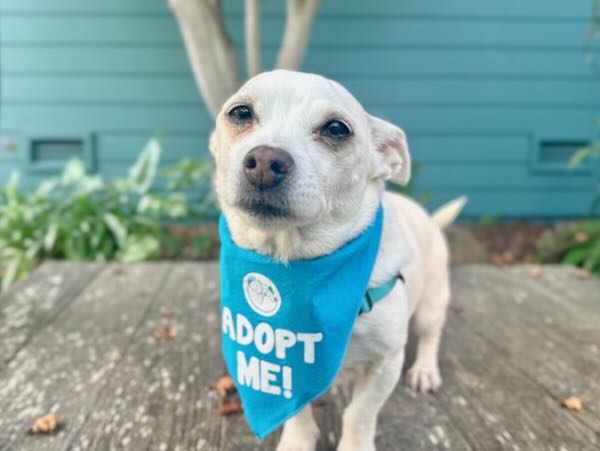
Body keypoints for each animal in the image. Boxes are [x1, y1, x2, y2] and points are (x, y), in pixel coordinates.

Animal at [209, 70, 465, 451]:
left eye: (336, 129)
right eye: (239, 113)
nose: (265, 162)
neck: (293, 261)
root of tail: (430, 220)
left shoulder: (386, 361)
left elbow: (359, 414)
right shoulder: (291, 368)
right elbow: (297, 411)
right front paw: (298, 441)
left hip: (431, 304)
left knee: (431, 336)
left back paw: (425, 370)